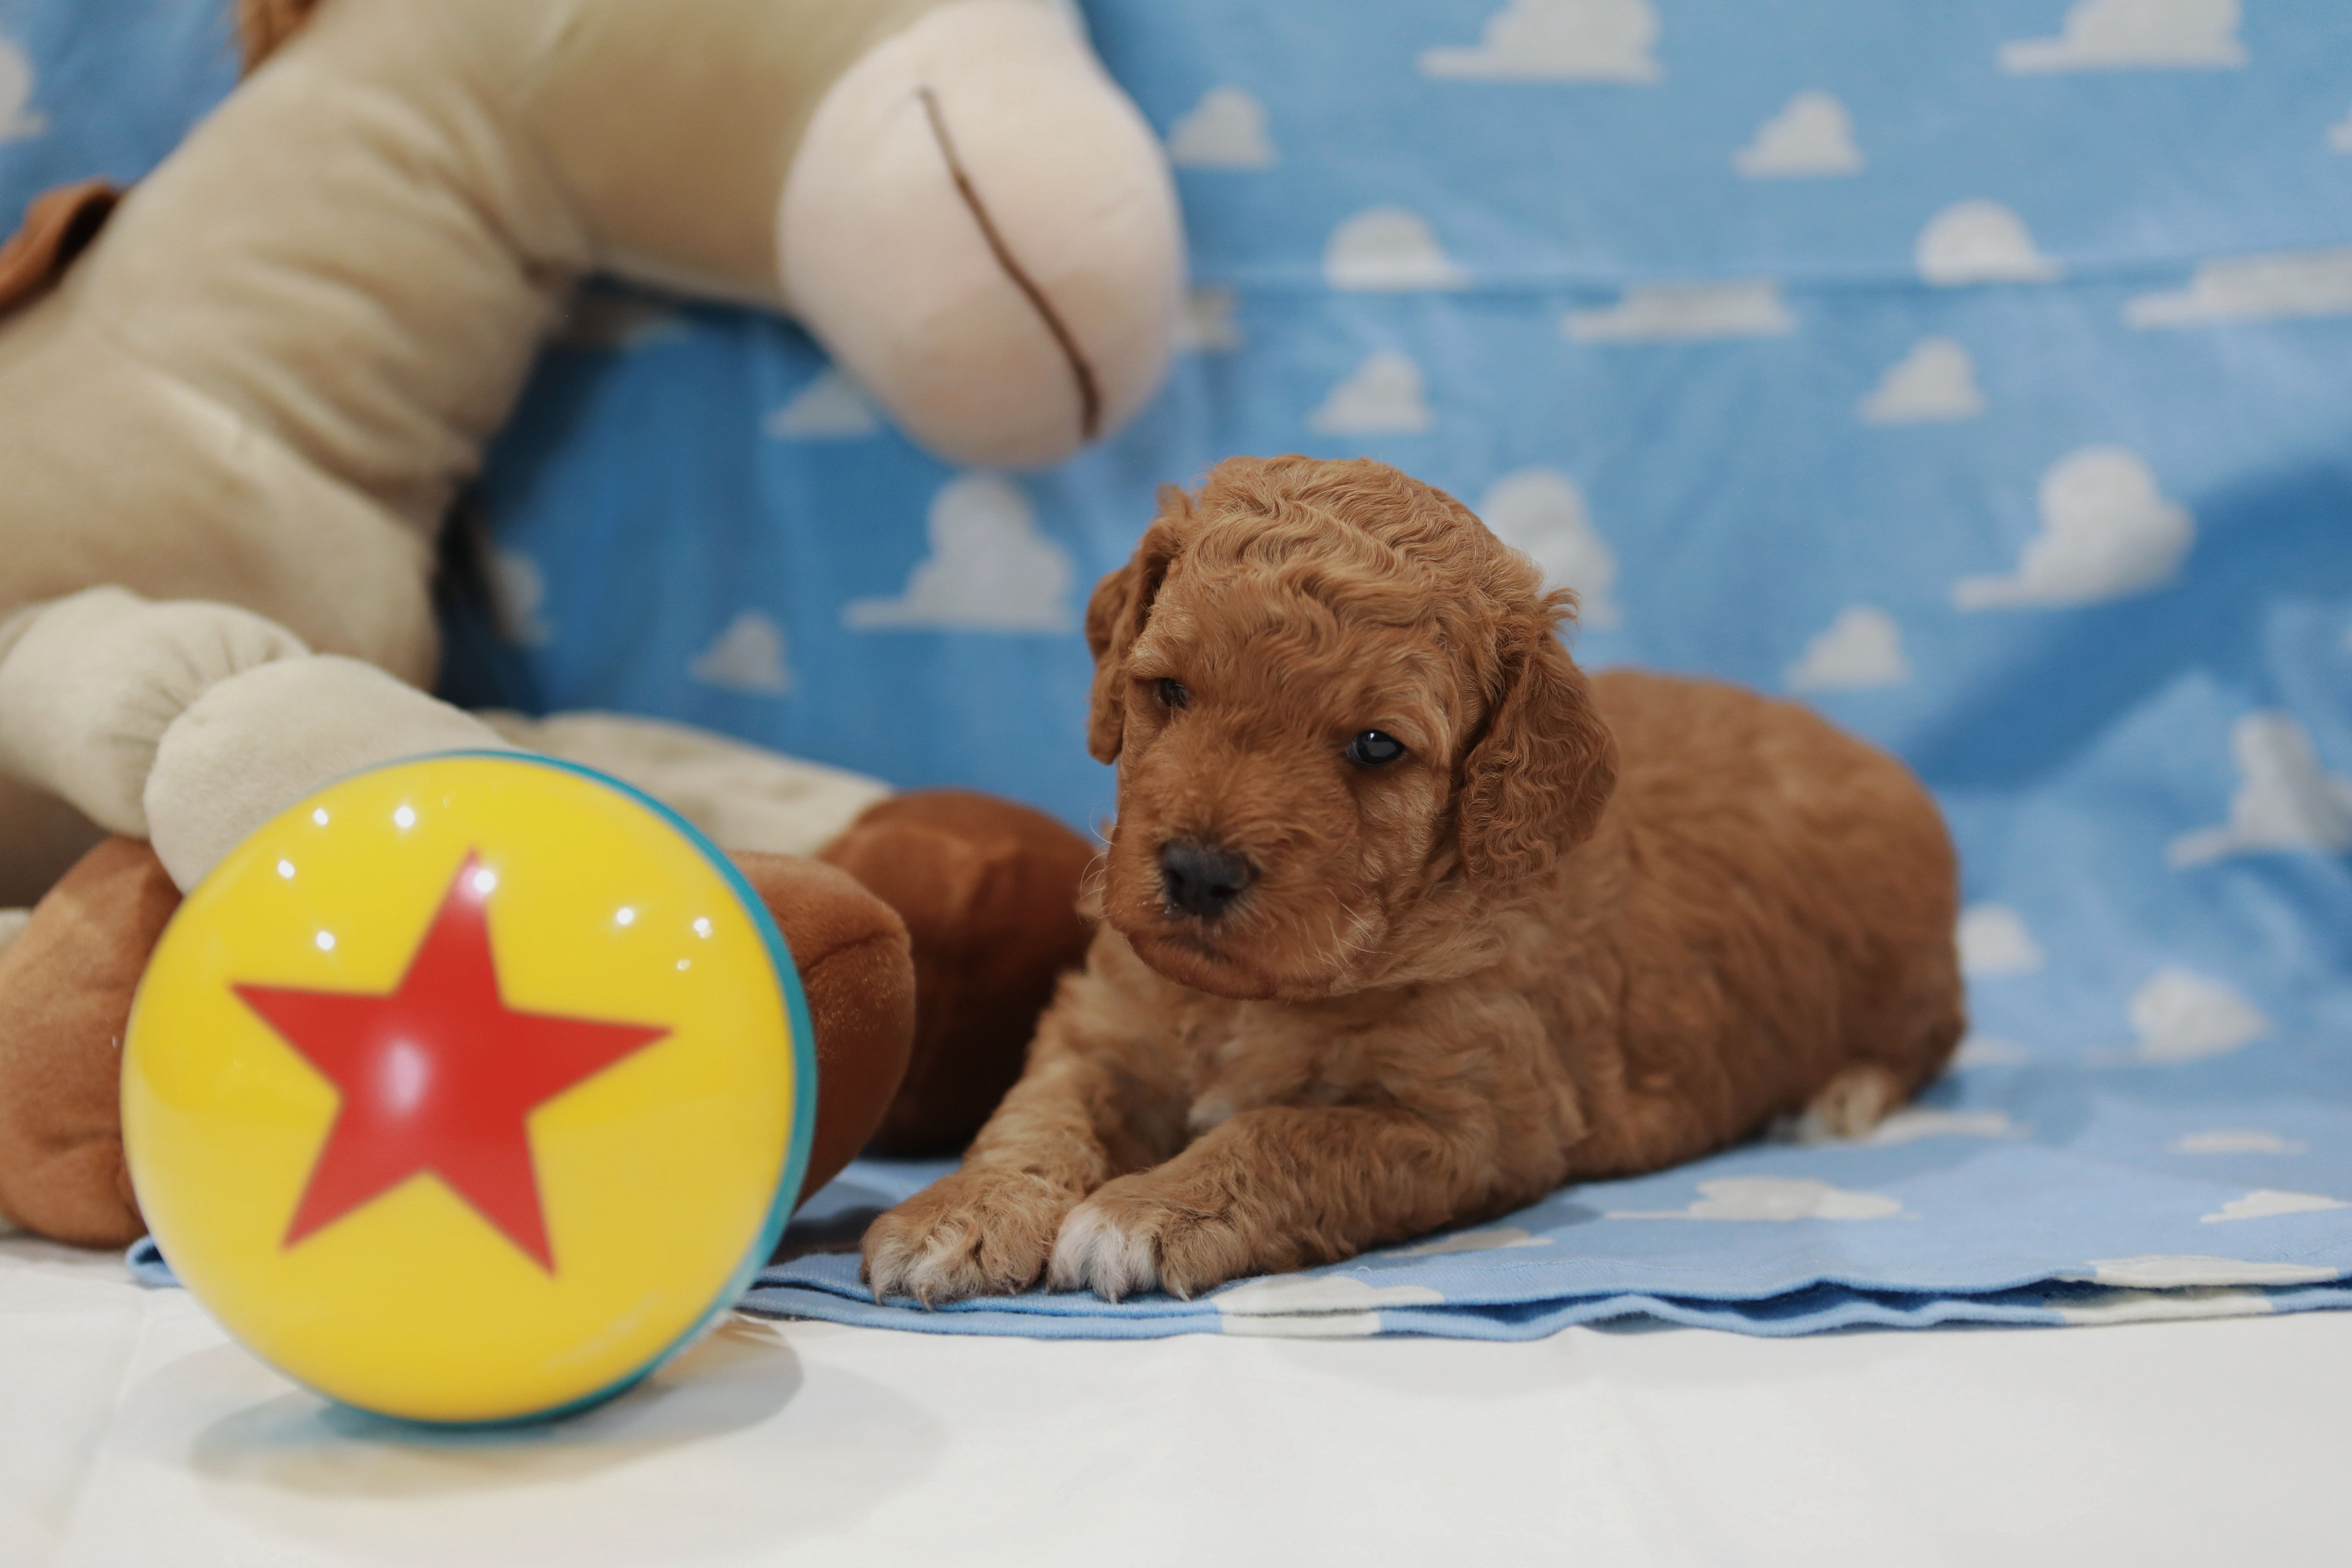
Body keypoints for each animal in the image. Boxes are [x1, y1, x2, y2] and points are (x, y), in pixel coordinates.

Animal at [862, 455, 1965, 1304]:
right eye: (1168, 690)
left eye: (1376, 747)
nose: (1199, 873)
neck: (1264, 995)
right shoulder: (1105, 1022)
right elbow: (1034, 1113)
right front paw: (958, 1214)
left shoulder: (1476, 1122)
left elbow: (1286, 1133)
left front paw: (1146, 1209)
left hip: (1909, 982)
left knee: (1932, 1042)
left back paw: (1844, 1096)